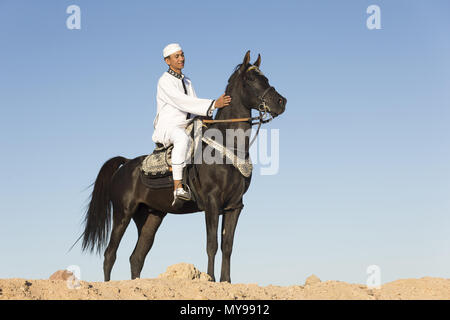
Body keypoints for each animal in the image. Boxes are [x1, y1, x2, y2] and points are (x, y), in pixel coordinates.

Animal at [79, 51, 286, 284]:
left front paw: (226, 281)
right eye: (251, 80)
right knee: (110, 254)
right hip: (122, 213)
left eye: (266, 78)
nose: (281, 102)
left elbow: (227, 246)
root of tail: (125, 164)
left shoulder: (234, 206)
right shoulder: (212, 203)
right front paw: (210, 279)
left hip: (151, 216)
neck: (228, 145)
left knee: (136, 257)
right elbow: (212, 244)